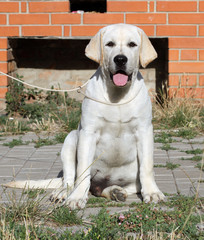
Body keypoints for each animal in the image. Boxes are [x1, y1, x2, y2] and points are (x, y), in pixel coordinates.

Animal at [4, 23, 164, 209]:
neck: (117, 96)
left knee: (102, 189)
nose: (120, 59)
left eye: (132, 44)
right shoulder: (88, 133)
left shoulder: (144, 130)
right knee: (69, 179)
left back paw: (115, 191)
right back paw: (62, 193)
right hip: (71, 139)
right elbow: (82, 171)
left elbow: (147, 167)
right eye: (109, 44)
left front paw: (152, 193)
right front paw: (76, 197)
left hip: (130, 181)